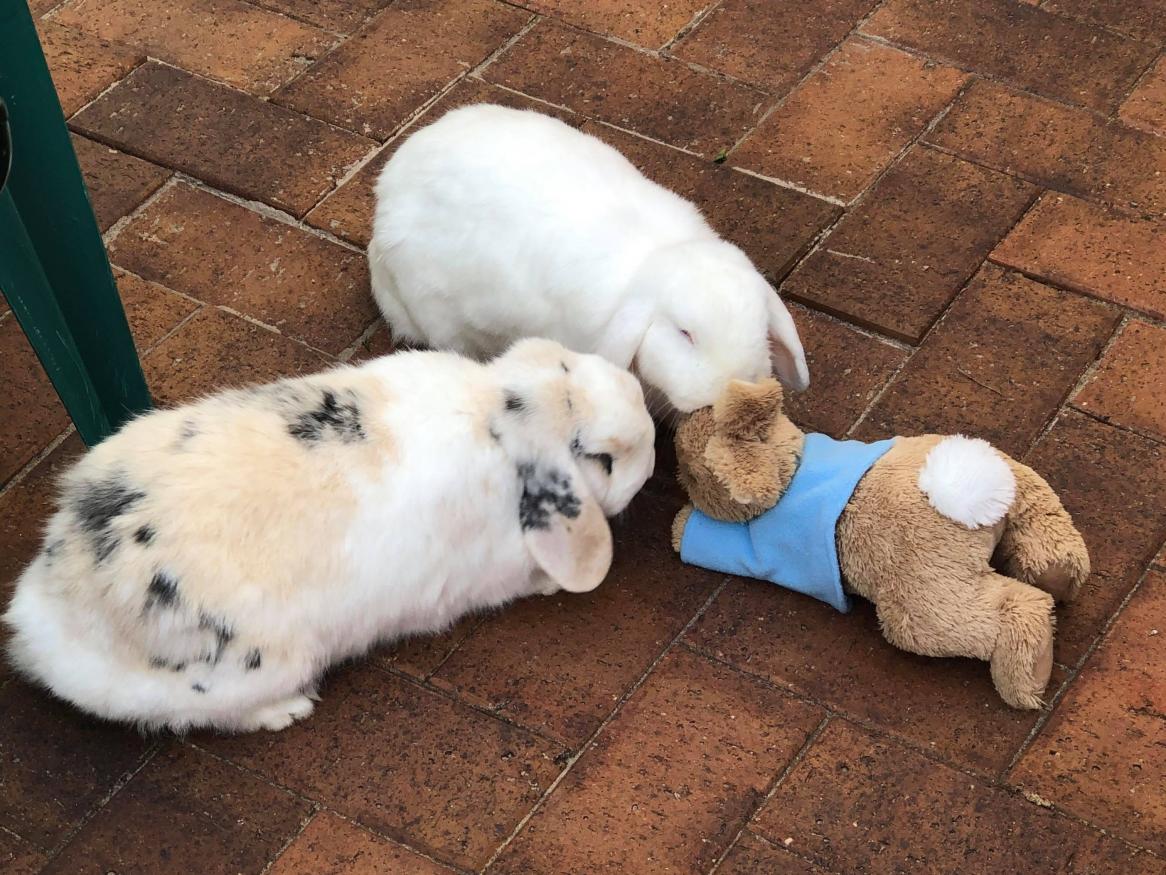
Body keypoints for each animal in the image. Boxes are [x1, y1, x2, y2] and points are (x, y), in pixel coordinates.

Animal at [2, 338, 657, 737]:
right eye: (601, 459)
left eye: (570, 362)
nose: (651, 437)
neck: (496, 415)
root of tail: (45, 622)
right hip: (255, 667)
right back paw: (288, 711)